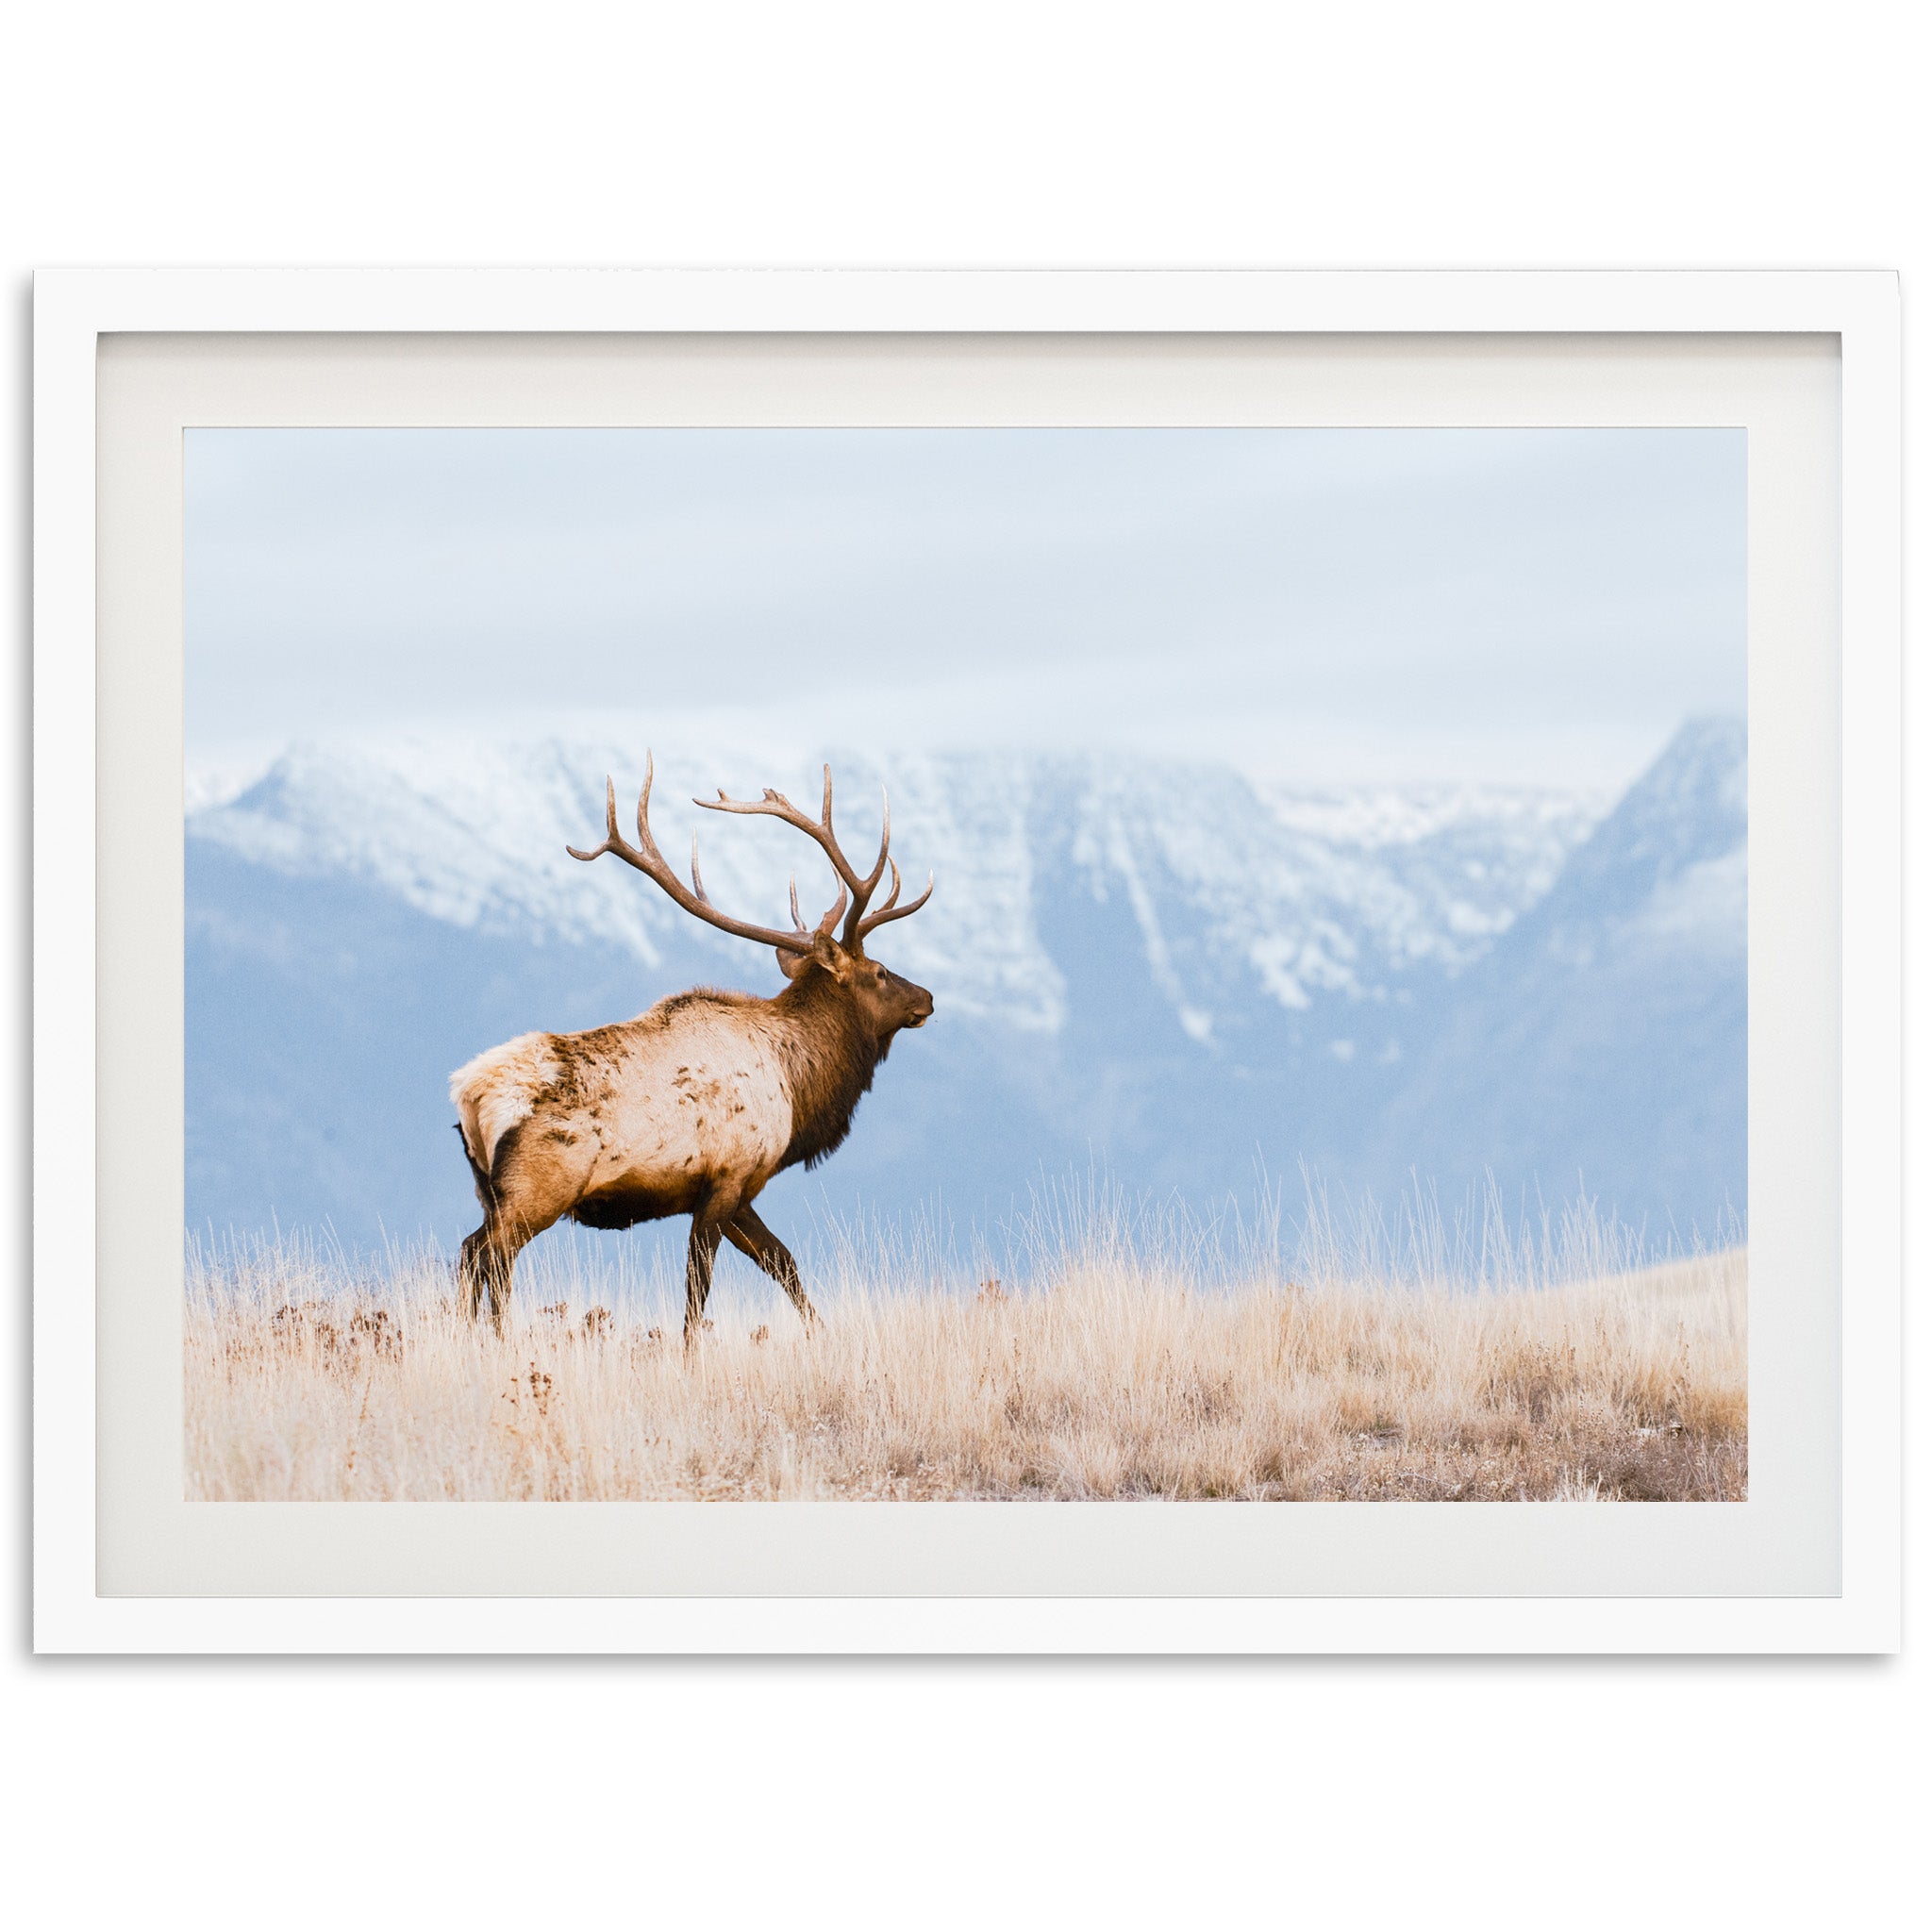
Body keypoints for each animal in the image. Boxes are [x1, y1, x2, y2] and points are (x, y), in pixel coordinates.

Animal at [452, 753, 935, 1344]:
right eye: (881, 971)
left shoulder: (742, 1190)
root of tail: (469, 1095)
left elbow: (784, 1264)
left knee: (476, 1254)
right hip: (538, 1187)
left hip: (488, 1190)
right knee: (485, 1256)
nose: (927, 997)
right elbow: (698, 1289)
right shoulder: (726, 1177)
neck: (798, 1088)